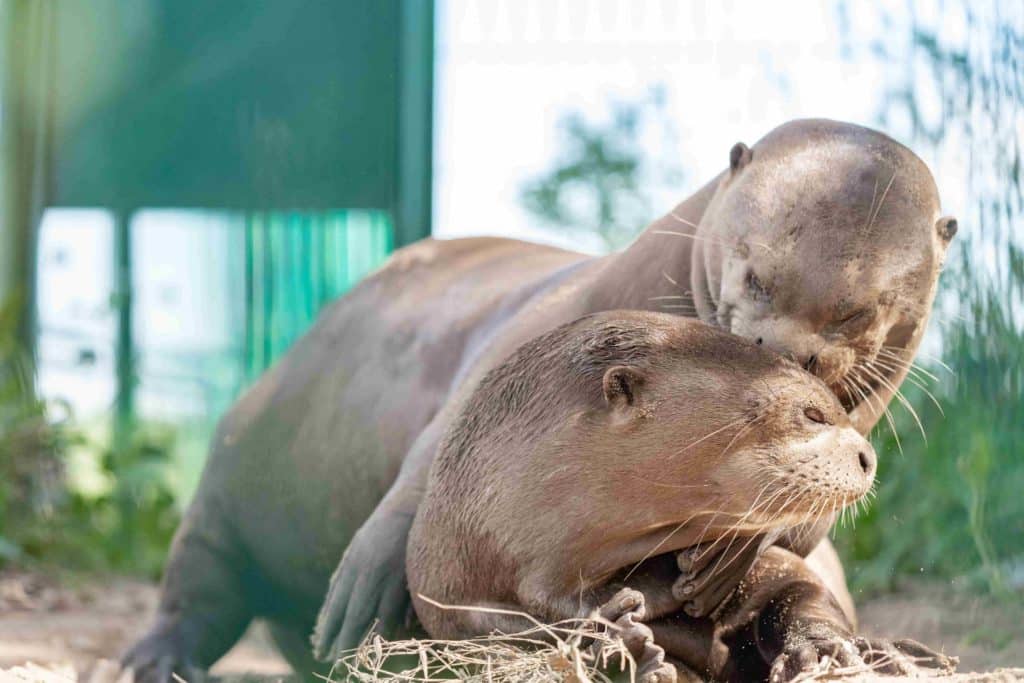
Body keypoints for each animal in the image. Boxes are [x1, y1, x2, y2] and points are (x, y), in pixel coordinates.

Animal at [403, 313, 954, 679]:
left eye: (832, 407)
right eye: (812, 413)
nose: (869, 457)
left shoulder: (773, 569)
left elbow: (801, 590)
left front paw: (822, 649)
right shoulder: (460, 609)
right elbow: (522, 636)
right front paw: (625, 649)